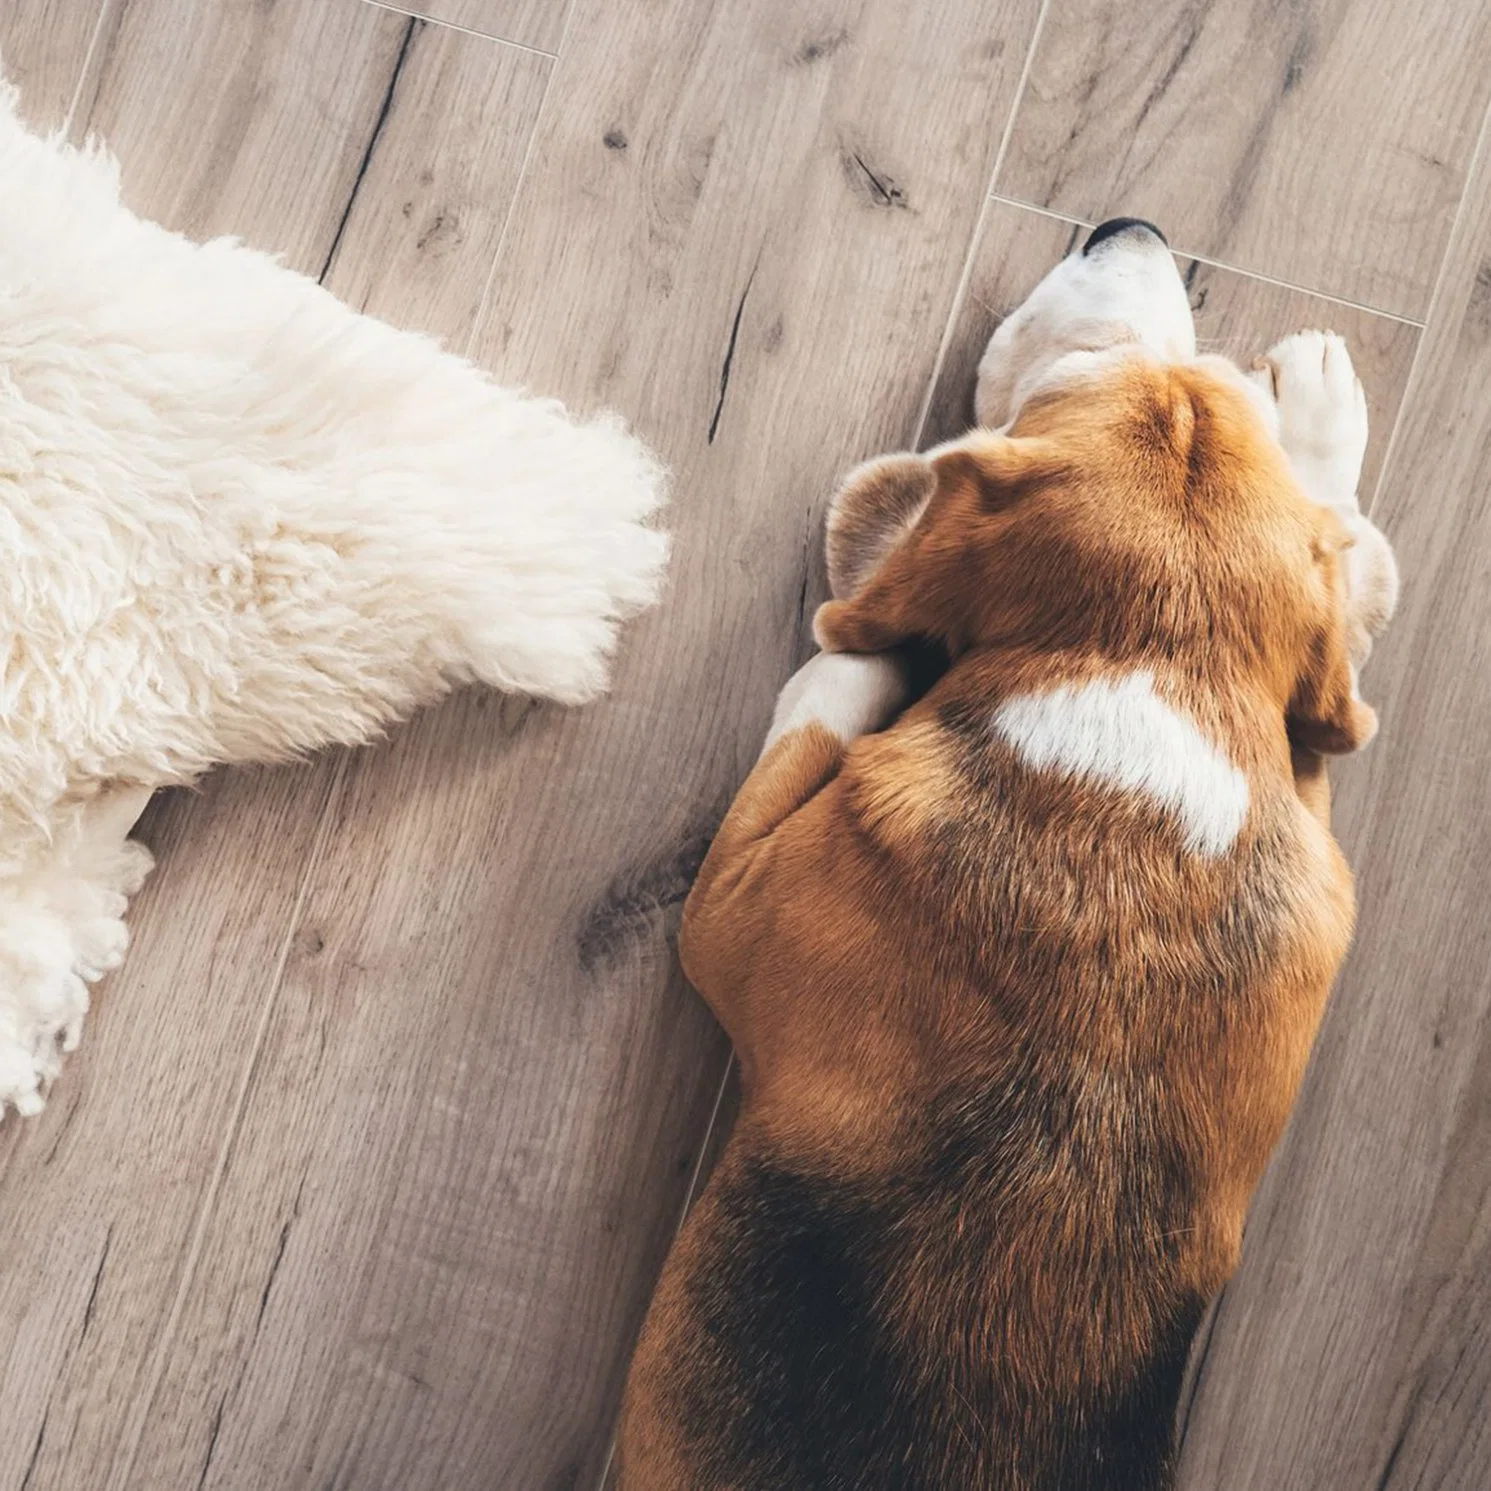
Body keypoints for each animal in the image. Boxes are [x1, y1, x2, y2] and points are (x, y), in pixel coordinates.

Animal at [614, 220, 1395, 1491]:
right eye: (1199, 380)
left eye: (1073, 371)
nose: (1129, 227)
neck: (1149, 668)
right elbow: (1332, 584)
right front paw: (1319, 424)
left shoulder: (723, 910)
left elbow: (821, 701)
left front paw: (865, 647)